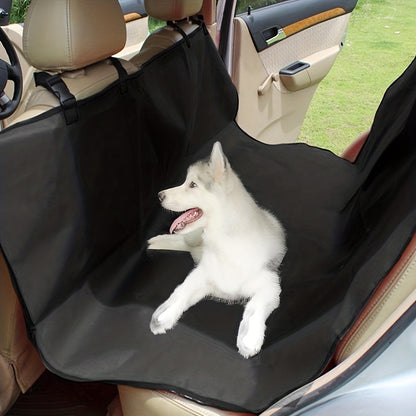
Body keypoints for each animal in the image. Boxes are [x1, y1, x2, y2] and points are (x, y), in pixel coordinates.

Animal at [148, 143, 288, 358]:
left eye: (193, 185)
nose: (159, 195)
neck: (223, 242)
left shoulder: (270, 285)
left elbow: (255, 306)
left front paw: (249, 338)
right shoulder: (202, 274)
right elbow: (182, 291)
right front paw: (164, 315)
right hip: (192, 238)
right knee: (184, 241)